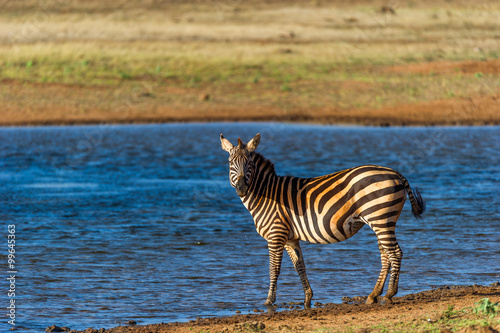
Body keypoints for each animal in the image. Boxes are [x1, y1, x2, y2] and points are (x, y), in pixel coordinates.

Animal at [221, 132, 424, 306]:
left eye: (249, 163)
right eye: (230, 163)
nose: (241, 188)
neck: (266, 194)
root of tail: (396, 173)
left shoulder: (276, 234)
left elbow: (274, 268)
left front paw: (269, 301)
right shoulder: (290, 238)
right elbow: (300, 266)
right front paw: (307, 298)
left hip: (381, 218)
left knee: (395, 253)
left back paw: (389, 294)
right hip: (381, 221)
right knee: (386, 255)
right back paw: (373, 295)